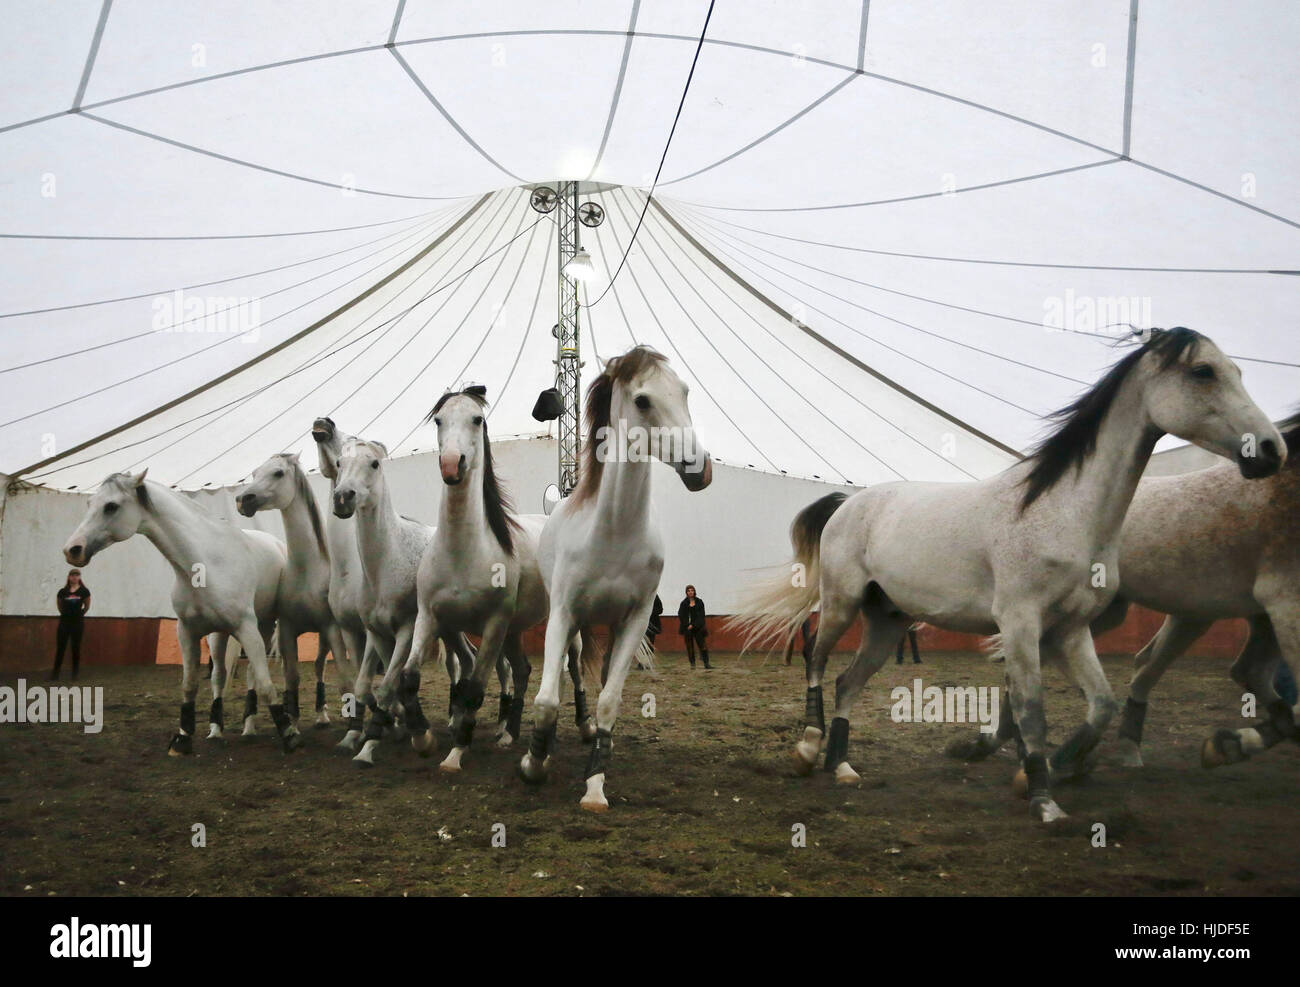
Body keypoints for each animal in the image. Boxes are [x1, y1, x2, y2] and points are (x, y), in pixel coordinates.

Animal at [62, 471, 303, 753]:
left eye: (111, 506)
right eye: (90, 503)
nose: (72, 549)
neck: (204, 565)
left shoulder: (247, 629)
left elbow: (265, 683)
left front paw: (289, 734)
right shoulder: (187, 632)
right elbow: (190, 685)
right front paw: (183, 738)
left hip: (263, 628)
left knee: (252, 675)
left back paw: (250, 727)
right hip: (219, 635)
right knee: (219, 676)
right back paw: (217, 730)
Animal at [237, 452, 357, 729]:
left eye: (278, 473)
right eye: (255, 473)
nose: (243, 500)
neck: (306, 571)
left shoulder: (331, 629)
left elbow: (343, 677)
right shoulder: (288, 631)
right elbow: (291, 677)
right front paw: (291, 718)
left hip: (324, 637)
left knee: (319, 666)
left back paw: (322, 713)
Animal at [519, 345, 713, 812]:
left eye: (684, 391)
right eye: (642, 400)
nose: (700, 470)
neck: (613, 532)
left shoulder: (635, 620)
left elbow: (610, 700)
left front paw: (595, 783)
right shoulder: (563, 616)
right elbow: (546, 699)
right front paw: (533, 764)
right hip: (574, 627)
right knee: (572, 669)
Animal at [730, 327, 1285, 822]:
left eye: (1238, 371)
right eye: (1203, 371)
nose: (1271, 451)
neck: (1064, 510)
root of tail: (849, 502)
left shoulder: (1069, 630)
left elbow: (1100, 705)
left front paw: (1043, 773)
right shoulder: (1020, 624)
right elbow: (1031, 710)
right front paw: (1043, 800)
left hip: (888, 622)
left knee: (848, 682)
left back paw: (842, 767)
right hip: (841, 604)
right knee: (816, 661)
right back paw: (808, 750)